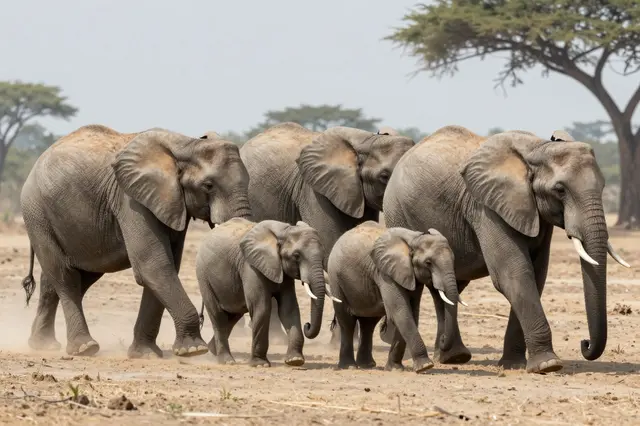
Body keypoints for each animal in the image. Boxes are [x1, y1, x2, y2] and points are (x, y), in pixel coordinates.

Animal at [20, 124, 252, 358]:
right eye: (208, 185)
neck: (186, 145)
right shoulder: (131, 200)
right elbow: (153, 264)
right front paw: (193, 350)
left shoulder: (169, 203)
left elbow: (165, 266)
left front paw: (145, 354)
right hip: (37, 213)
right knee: (65, 276)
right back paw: (84, 347)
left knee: (69, 278)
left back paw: (42, 344)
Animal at [196, 218, 326, 367]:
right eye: (296, 255)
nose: (307, 325)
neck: (284, 230)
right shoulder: (250, 266)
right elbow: (262, 307)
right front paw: (260, 364)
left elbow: (289, 308)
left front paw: (295, 360)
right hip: (204, 277)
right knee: (218, 316)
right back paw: (226, 361)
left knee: (233, 316)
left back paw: (212, 350)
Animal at [238, 122, 415, 342]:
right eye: (383, 176)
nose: (306, 325)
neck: (367, 140)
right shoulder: (314, 191)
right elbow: (331, 248)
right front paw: (341, 339)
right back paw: (276, 337)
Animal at [327, 221, 464, 373]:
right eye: (428, 263)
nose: (443, 339)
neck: (414, 238)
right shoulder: (385, 273)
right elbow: (400, 311)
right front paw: (425, 366)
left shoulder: (411, 275)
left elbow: (411, 311)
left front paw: (395, 368)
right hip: (336, 279)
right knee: (347, 321)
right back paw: (349, 366)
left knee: (368, 323)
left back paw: (367, 365)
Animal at [382, 125, 630, 373]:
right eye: (560, 190)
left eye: (603, 187)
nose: (584, 343)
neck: (538, 148)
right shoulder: (486, 207)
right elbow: (513, 273)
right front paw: (548, 365)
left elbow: (536, 275)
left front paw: (514, 364)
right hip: (397, 212)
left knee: (448, 287)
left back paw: (453, 356)